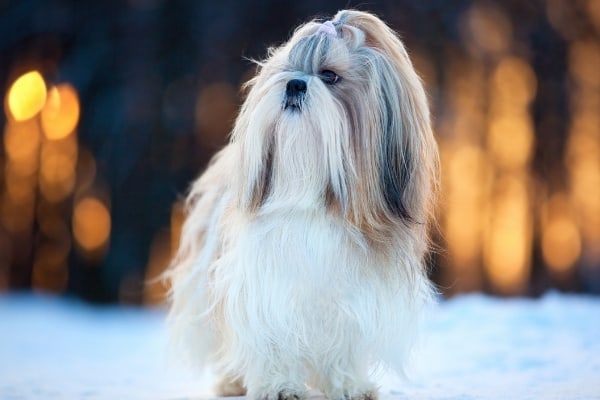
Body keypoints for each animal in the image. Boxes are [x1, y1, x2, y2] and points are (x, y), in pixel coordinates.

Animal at [166, 8, 438, 400]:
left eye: (329, 75)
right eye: (288, 68)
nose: (294, 84)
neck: (310, 198)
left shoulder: (354, 296)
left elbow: (344, 342)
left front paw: (347, 385)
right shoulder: (265, 288)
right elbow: (272, 339)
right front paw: (279, 386)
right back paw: (232, 380)